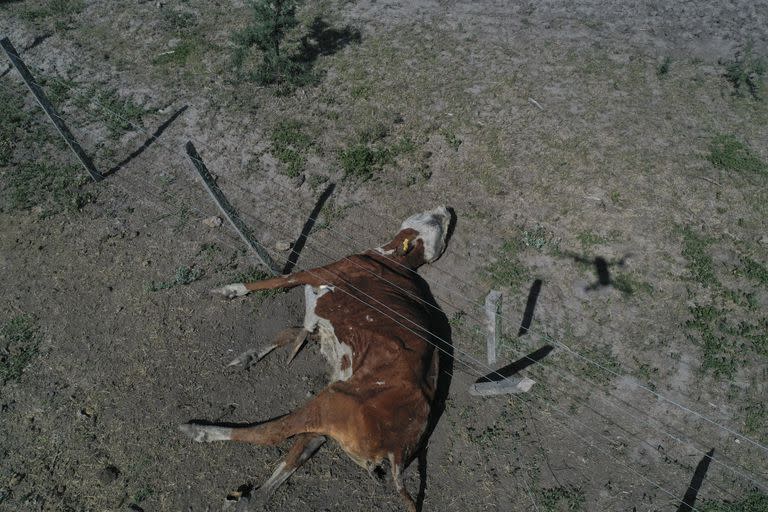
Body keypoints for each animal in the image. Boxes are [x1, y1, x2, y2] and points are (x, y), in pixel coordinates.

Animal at [180, 207, 452, 512]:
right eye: (435, 221)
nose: (446, 209)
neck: (392, 259)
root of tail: (398, 452)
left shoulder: (321, 271)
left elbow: (275, 282)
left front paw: (230, 289)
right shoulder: (322, 329)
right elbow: (291, 331)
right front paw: (248, 357)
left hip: (332, 400)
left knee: (271, 432)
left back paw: (199, 430)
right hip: (332, 411)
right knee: (302, 448)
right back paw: (251, 495)